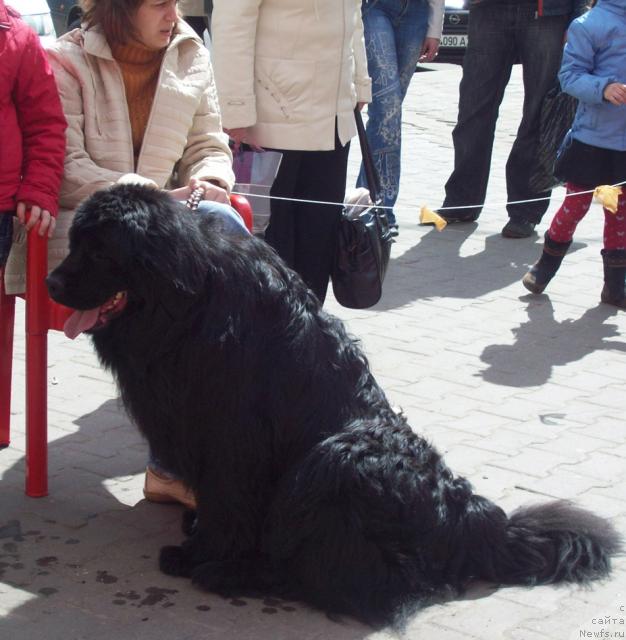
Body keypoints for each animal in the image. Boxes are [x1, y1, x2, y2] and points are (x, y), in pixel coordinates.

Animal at [47, 184, 620, 624]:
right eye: (73, 243)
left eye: (97, 251)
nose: (51, 281)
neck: (185, 305)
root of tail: (471, 519)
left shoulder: (235, 436)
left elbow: (229, 504)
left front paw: (201, 554)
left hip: (334, 460)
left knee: (371, 586)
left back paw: (238, 573)